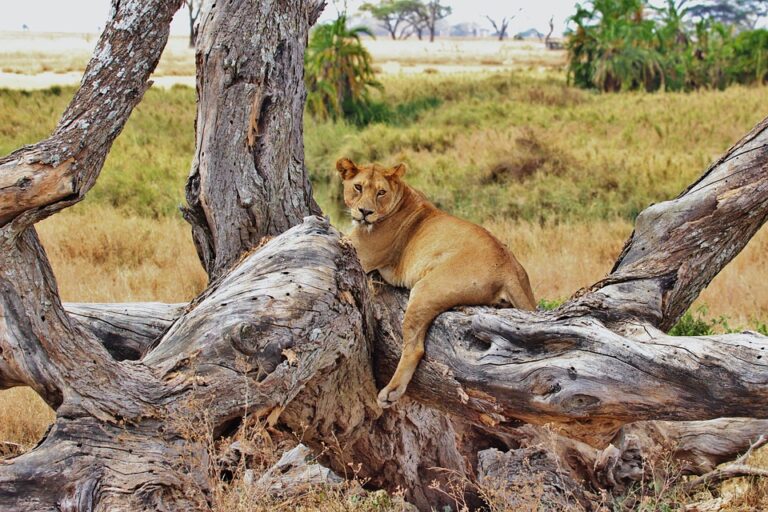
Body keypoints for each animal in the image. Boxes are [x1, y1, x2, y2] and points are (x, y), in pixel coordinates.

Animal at [337, 157, 536, 409]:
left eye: (381, 192)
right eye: (358, 187)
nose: (365, 212)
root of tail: (508, 266)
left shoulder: (360, 253)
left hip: (425, 289)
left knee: (415, 348)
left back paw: (391, 392)